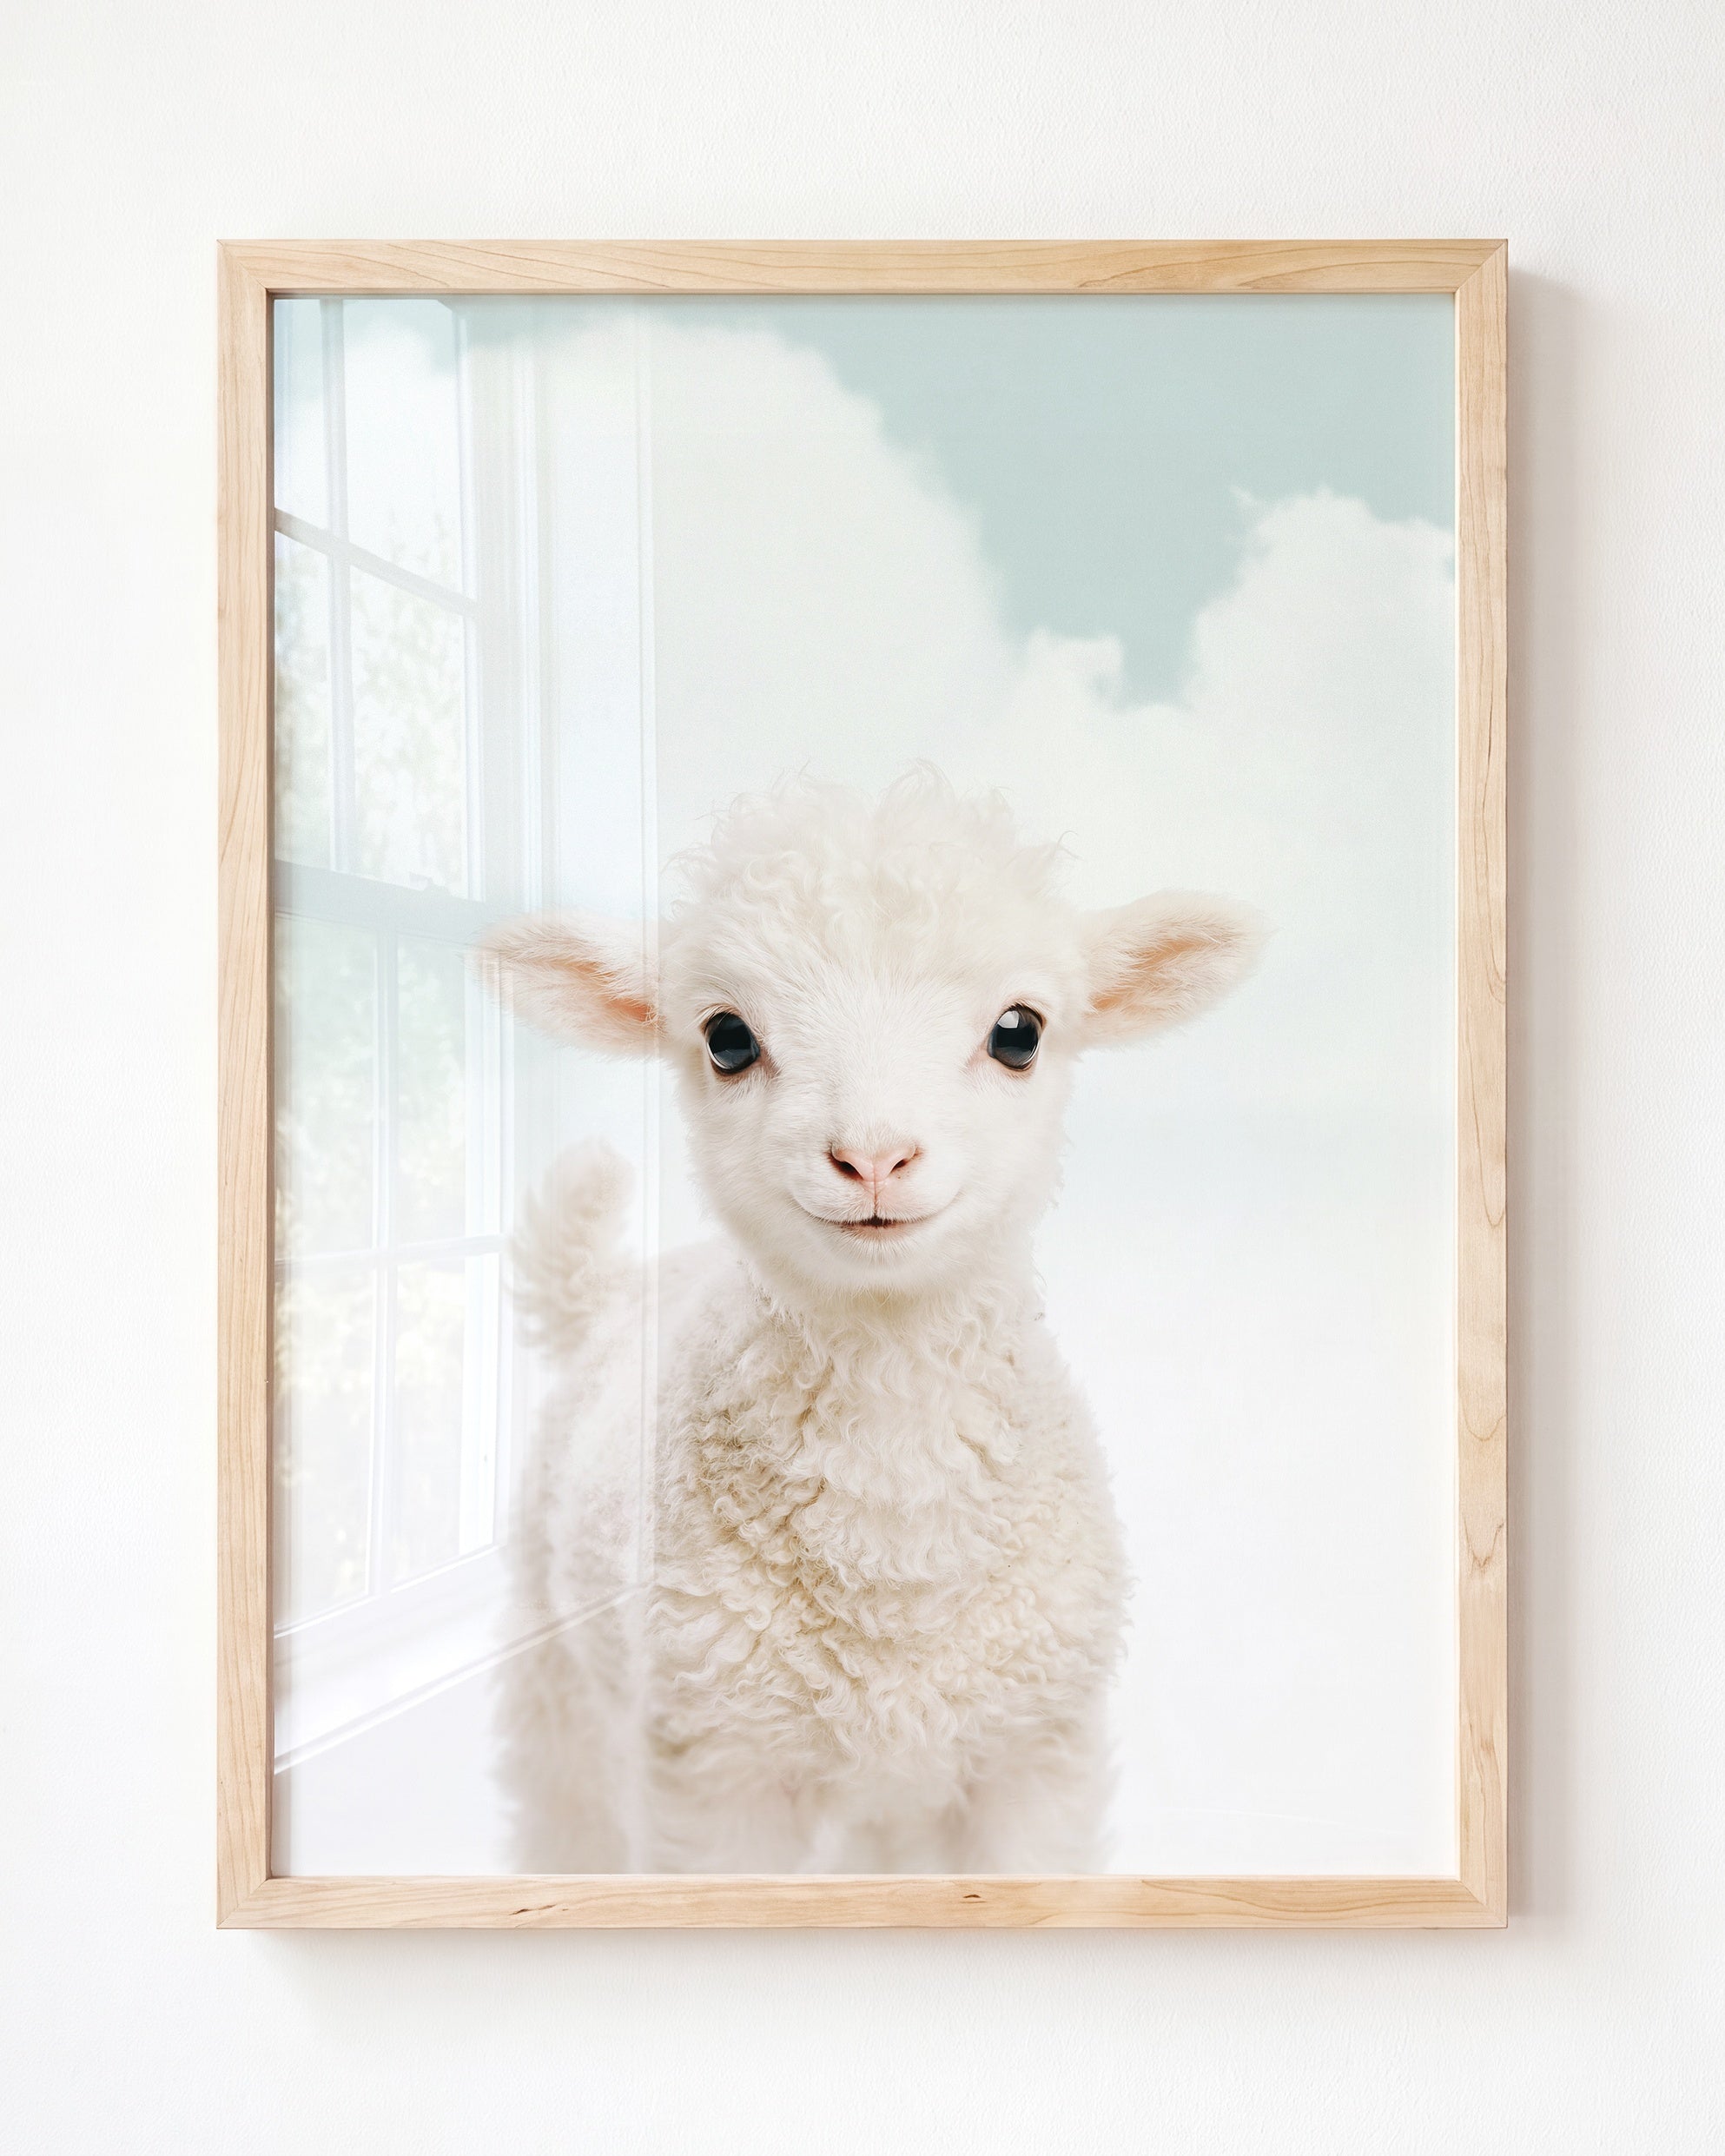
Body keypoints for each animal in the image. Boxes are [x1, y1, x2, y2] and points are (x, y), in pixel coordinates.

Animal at [482, 769, 1261, 1873]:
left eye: (1019, 1031)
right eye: (727, 1037)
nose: (874, 1157)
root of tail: (616, 1289)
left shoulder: (1033, 1757)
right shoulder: (716, 1772)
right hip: (558, 1684)